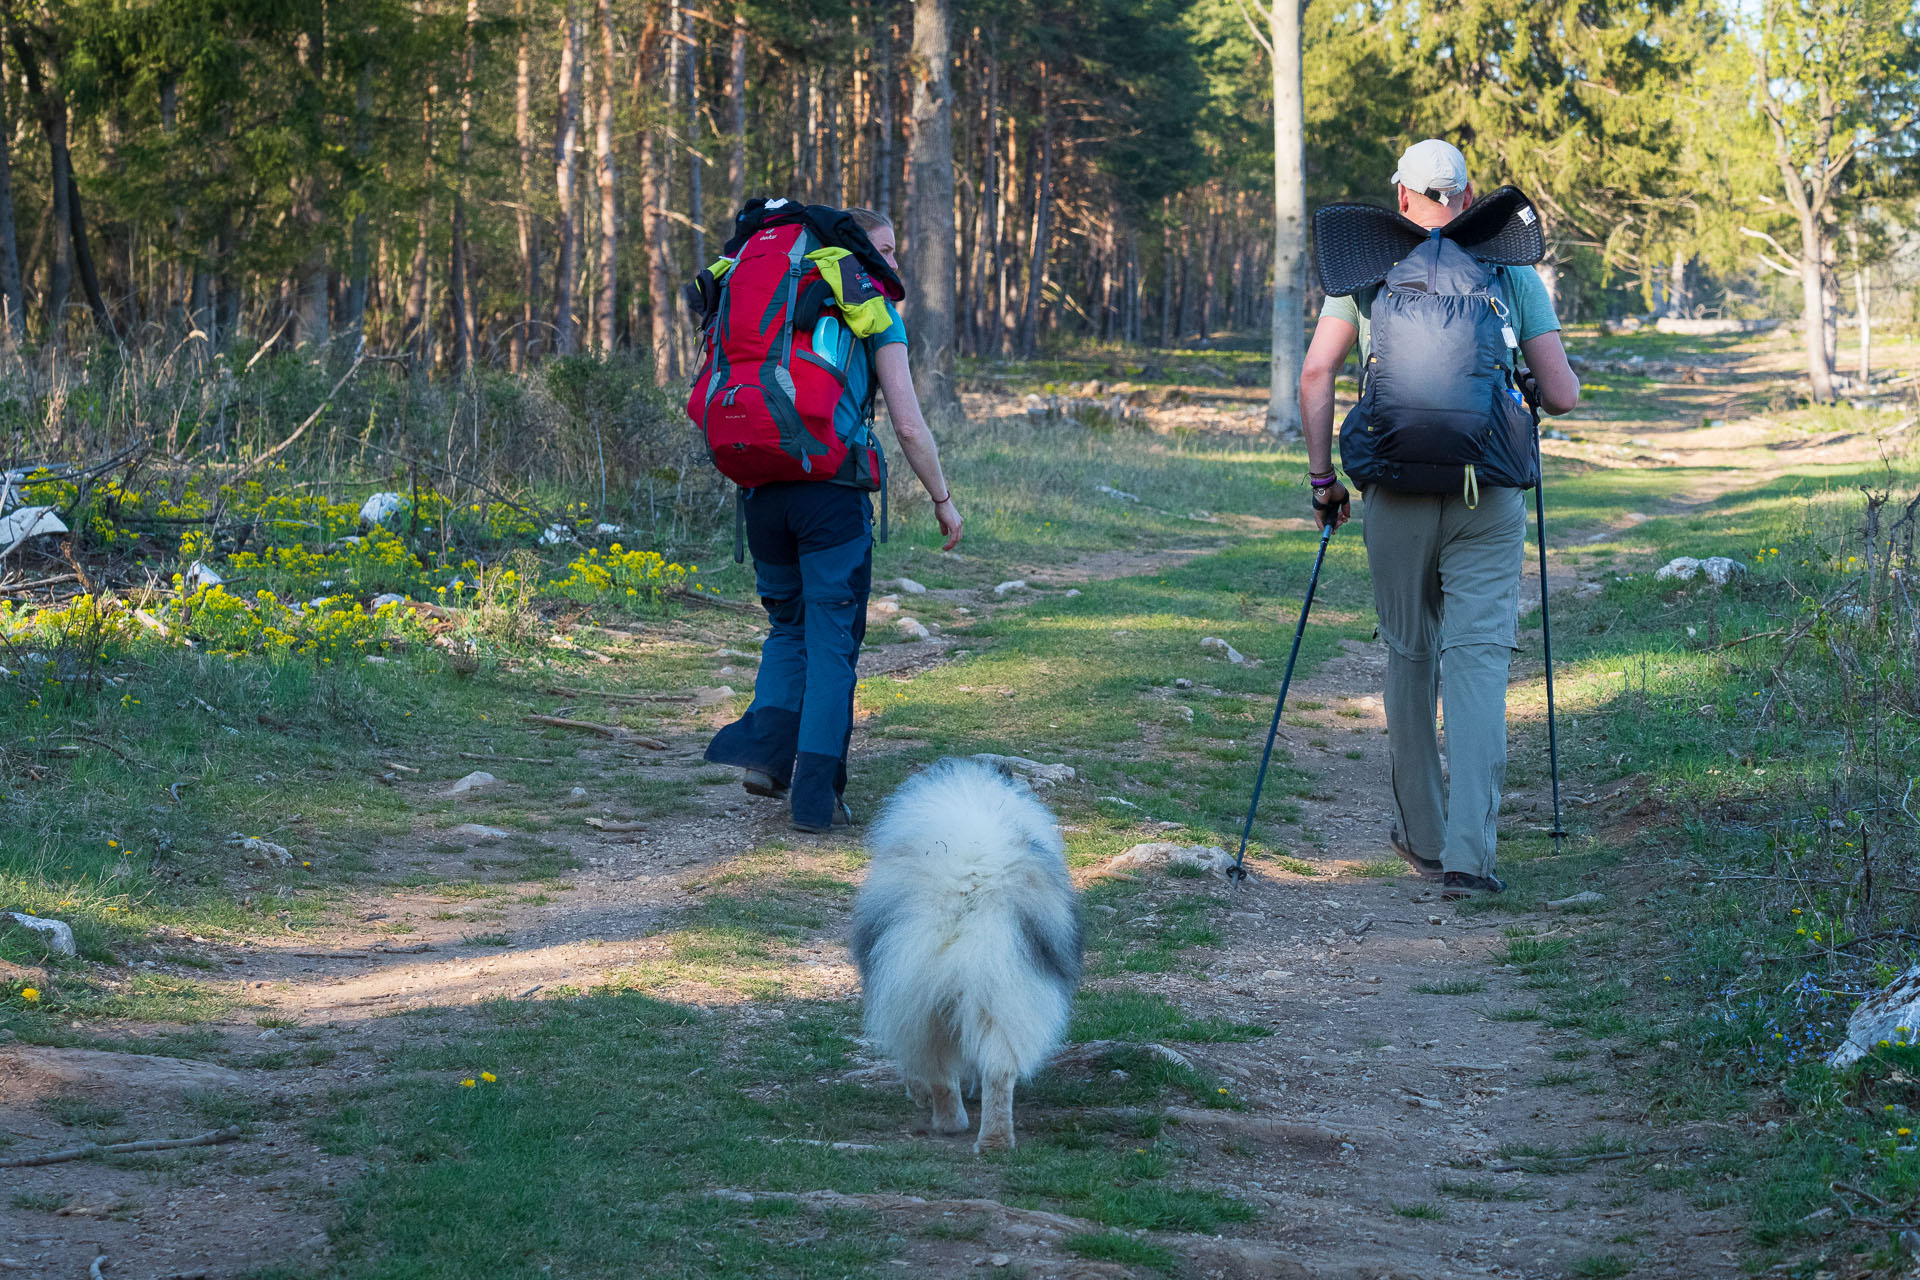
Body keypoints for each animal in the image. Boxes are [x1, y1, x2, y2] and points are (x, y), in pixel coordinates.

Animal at [852, 756, 1082, 1159]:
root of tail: (969, 880)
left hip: (927, 1001)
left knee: (942, 1070)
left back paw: (952, 1123)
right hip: (1002, 995)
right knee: (998, 1073)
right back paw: (993, 1140)